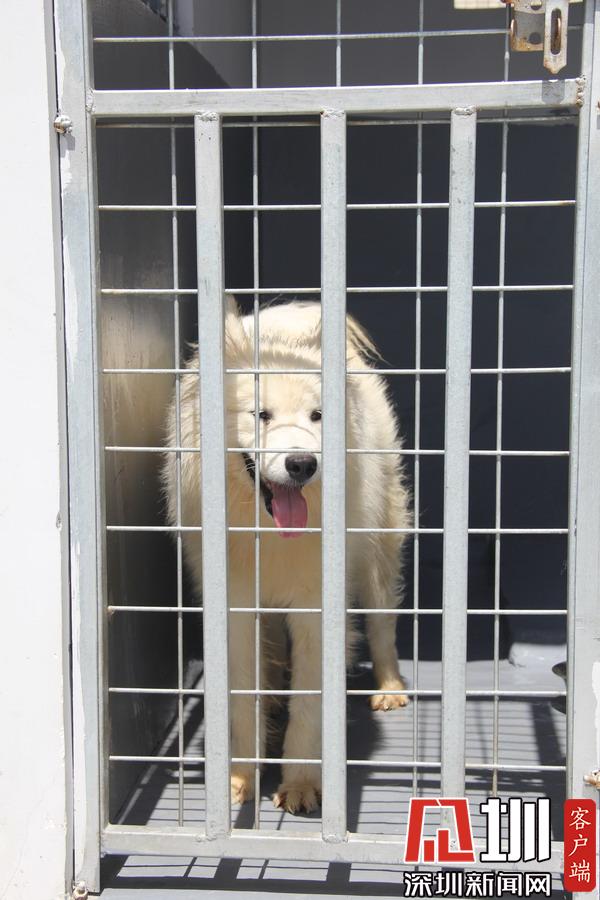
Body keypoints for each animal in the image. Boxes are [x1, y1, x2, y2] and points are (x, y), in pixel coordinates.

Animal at [162, 299, 411, 814]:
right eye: (261, 415)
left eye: (317, 416)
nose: (302, 464)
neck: (269, 532)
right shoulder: (236, 608)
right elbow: (241, 700)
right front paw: (239, 779)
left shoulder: (317, 609)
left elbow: (310, 704)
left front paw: (299, 783)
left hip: (379, 550)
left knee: (382, 623)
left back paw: (390, 688)